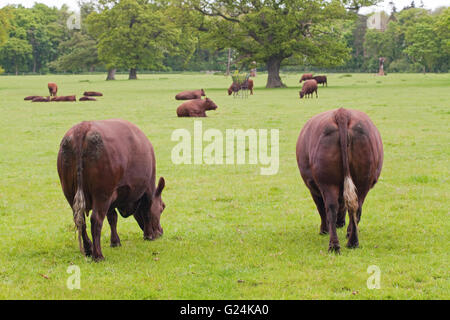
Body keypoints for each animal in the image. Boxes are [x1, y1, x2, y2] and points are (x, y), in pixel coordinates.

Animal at [57, 119, 166, 262]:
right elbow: (146, 211)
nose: (160, 232)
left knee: (81, 221)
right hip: (102, 193)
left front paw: (115, 242)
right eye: (162, 207)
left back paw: (89, 249)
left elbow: (112, 218)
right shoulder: (148, 188)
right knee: (96, 220)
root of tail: (83, 127)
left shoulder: (113, 196)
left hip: (70, 192)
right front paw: (149, 236)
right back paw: (98, 255)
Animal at [296, 109, 384, 254]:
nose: (340, 224)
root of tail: (342, 113)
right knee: (356, 207)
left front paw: (323, 230)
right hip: (362, 181)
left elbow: (320, 208)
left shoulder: (313, 187)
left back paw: (334, 245)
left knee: (330, 208)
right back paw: (352, 242)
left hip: (327, 182)